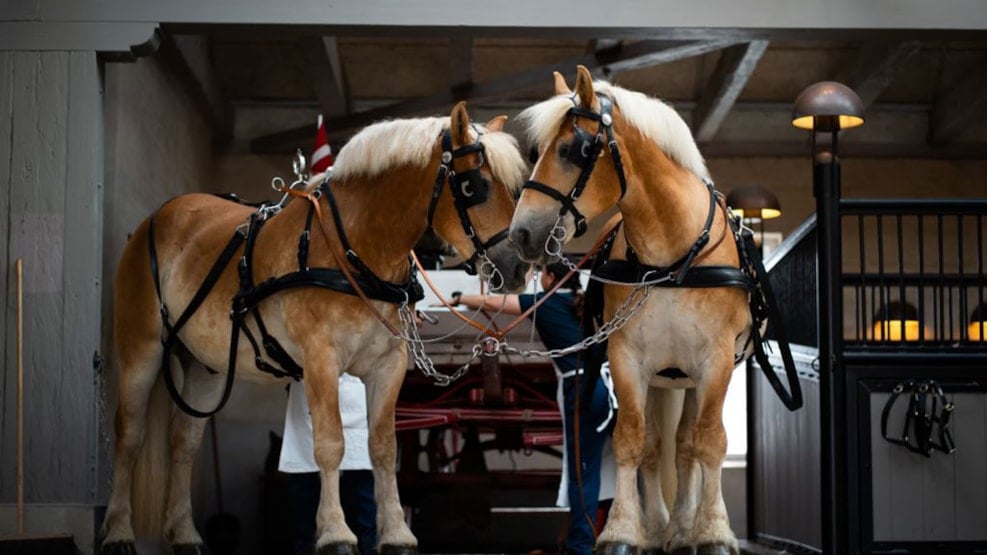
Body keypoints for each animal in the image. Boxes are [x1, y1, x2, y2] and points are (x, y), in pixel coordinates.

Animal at [100, 102, 532, 552]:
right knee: (129, 435)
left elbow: (382, 447)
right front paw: (335, 533)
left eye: (517, 186)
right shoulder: (321, 360)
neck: (354, 248)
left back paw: (185, 535)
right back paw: (118, 531)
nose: (520, 267)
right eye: (474, 187)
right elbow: (329, 444)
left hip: (207, 368)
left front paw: (396, 533)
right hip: (141, 350)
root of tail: (159, 216)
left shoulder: (389, 365)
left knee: (183, 443)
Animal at [510, 67, 756, 552]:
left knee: (687, 445)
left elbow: (709, 441)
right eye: (536, 151)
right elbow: (631, 441)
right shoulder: (626, 357)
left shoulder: (716, 360)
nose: (520, 234)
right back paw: (663, 527)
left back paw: (684, 528)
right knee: (660, 445)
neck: (672, 259)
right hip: (662, 376)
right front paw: (623, 531)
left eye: (571, 150)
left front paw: (714, 531)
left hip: (689, 376)